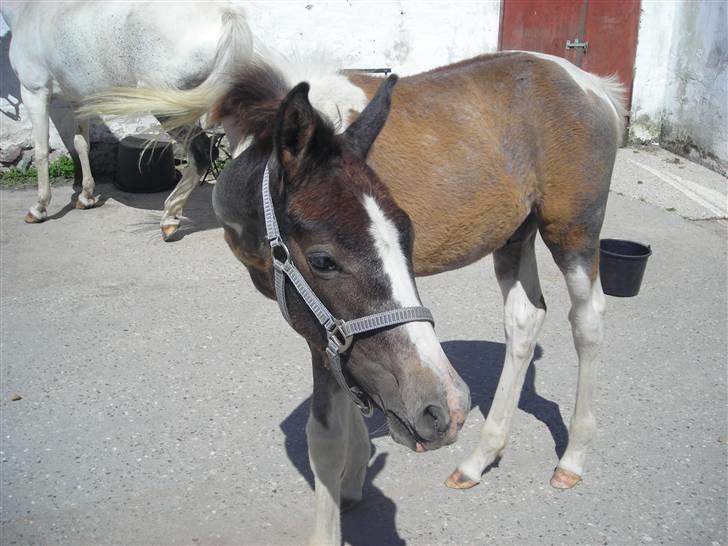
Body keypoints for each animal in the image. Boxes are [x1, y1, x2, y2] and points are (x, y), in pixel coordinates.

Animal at [2, 0, 253, 238]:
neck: (27, 10)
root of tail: (224, 16)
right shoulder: (80, 101)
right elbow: (81, 145)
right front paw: (86, 197)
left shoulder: (34, 93)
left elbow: (41, 151)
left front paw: (39, 208)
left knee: (202, 153)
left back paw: (169, 218)